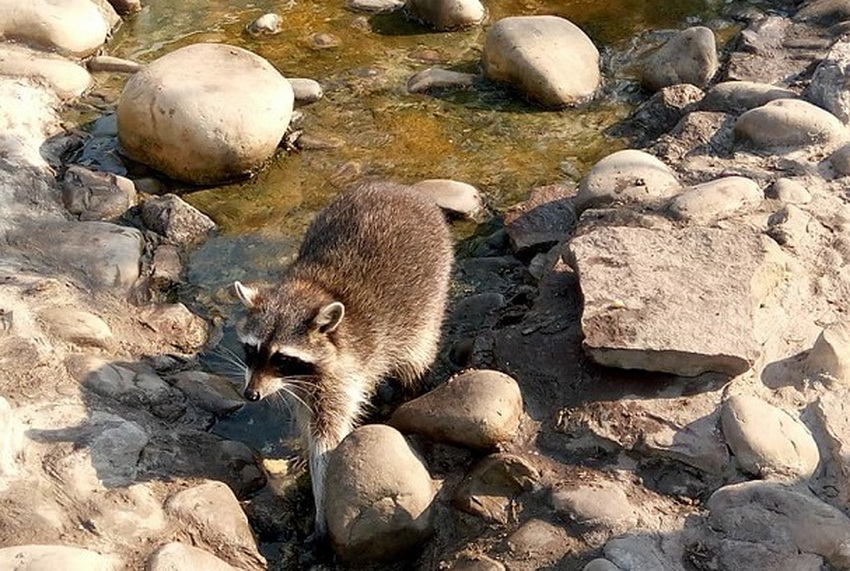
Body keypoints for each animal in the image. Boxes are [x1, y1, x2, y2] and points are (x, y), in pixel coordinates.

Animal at [232, 182, 454, 536]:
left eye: (282, 359)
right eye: (252, 351)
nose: (251, 394)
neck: (313, 288)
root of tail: (401, 189)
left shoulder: (343, 374)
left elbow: (328, 439)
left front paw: (321, 501)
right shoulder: (300, 387)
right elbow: (309, 425)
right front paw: (304, 452)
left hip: (428, 303)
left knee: (416, 359)